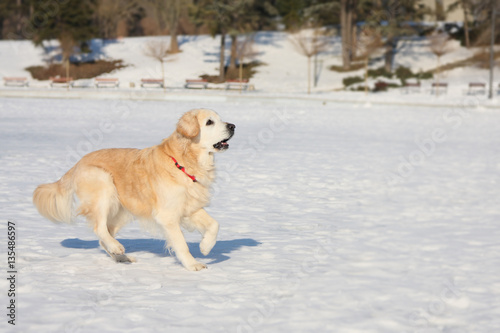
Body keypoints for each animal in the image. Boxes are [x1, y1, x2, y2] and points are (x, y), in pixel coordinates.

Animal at [33, 109, 236, 270]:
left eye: (220, 118)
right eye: (209, 122)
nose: (233, 125)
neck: (184, 161)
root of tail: (77, 163)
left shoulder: (189, 206)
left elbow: (214, 224)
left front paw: (205, 247)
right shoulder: (167, 214)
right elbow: (181, 243)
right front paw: (192, 264)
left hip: (122, 211)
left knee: (103, 236)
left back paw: (121, 256)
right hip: (104, 185)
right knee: (99, 228)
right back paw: (117, 248)